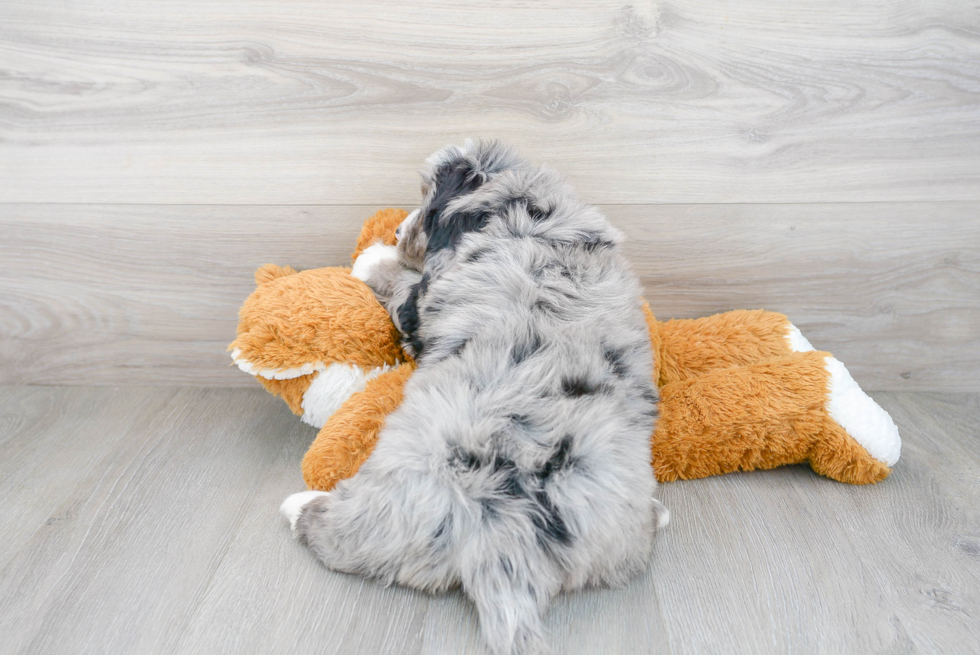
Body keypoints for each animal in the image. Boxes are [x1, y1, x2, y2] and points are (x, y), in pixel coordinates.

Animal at [280, 141, 668, 652]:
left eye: (426, 204)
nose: (398, 230)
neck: (541, 221)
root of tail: (505, 531)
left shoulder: (421, 306)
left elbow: (402, 286)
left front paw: (373, 257)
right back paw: (658, 514)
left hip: (391, 501)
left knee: (341, 539)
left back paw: (299, 506)